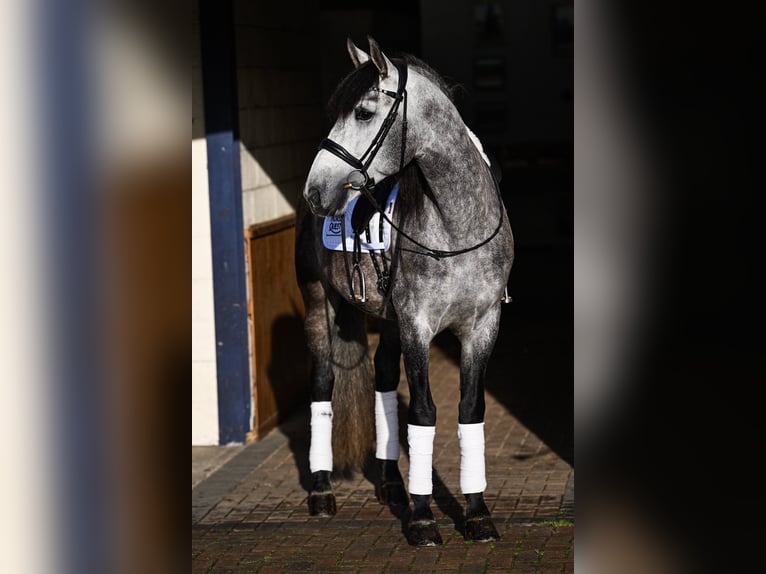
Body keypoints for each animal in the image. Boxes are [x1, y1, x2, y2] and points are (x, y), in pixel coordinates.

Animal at [295, 36, 514, 546]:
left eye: (362, 112)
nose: (316, 191)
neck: (456, 225)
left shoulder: (482, 327)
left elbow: (469, 411)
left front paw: (476, 513)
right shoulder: (418, 326)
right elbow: (425, 413)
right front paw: (422, 518)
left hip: (388, 320)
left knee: (382, 382)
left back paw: (391, 483)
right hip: (321, 308)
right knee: (322, 386)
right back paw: (322, 491)